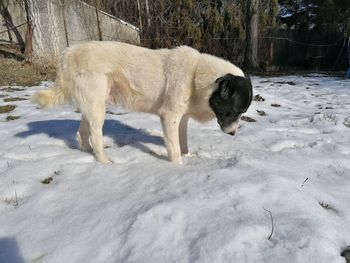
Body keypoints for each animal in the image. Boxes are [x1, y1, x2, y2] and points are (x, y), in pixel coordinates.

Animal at [32, 41, 252, 165]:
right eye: (235, 111)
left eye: (242, 113)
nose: (233, 134)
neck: (195, 75)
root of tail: (69, 53)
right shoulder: (169, 116)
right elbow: (174, 149)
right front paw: (179, 168)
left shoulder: (182, 119)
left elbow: (183, 143)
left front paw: (189, 157)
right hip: (97, 108)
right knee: (96, 136)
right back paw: (104, 162)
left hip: (93, 106)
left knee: (82, 132)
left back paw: (87, 151)